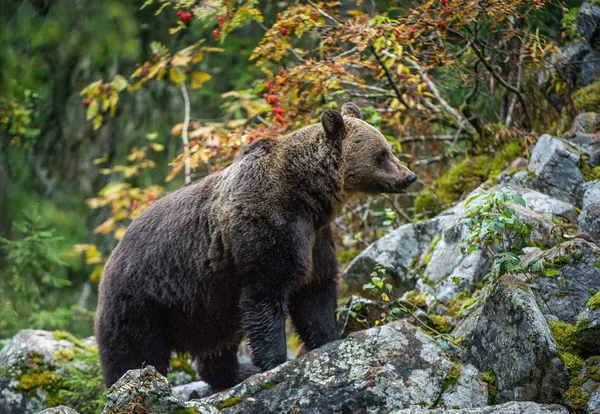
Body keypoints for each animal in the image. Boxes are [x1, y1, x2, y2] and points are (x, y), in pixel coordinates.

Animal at [97, 102, 418, 390]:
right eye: (381, 155)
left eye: (388, 148)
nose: (409, 176)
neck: (308, 196)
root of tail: (114, 253)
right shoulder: (266, 227)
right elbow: (267, 296)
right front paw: (274, 363)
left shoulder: (316, 239)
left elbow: (315, 295)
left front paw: (328, 340)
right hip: (143, 299)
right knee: (133, 351)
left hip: (208, 307)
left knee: (218, 346)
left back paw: (235, 373)